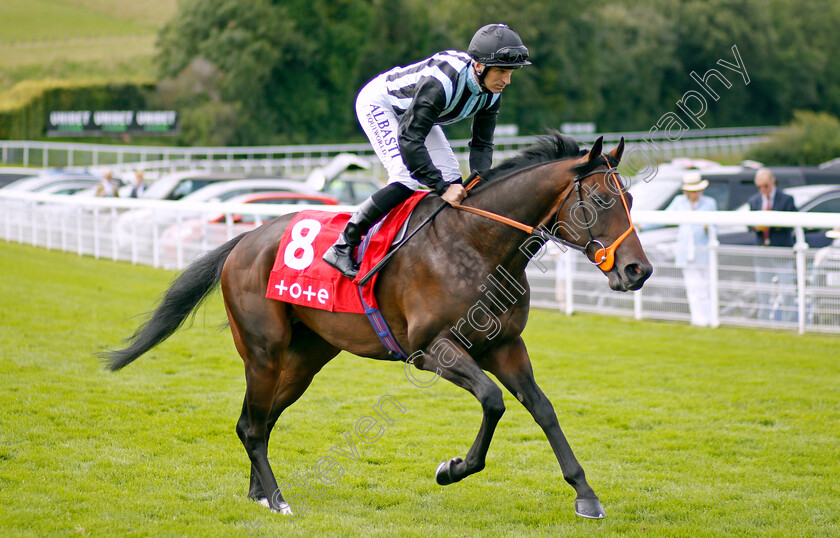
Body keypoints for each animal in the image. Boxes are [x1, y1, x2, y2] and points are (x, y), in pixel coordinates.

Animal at [105, 132, 652, 516]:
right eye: (601, 200)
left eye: (629, 198)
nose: (637, 270)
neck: (477, 243)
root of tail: (244, 239)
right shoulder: (433, 350)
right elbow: (493, 401)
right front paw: (451, 469)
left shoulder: (505, 346)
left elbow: (543, 409)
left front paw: (585, 493)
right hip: (263, 351)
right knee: (253, 425)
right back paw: (278, 499)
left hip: (304, 359)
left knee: (257, 421)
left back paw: (259, 494)